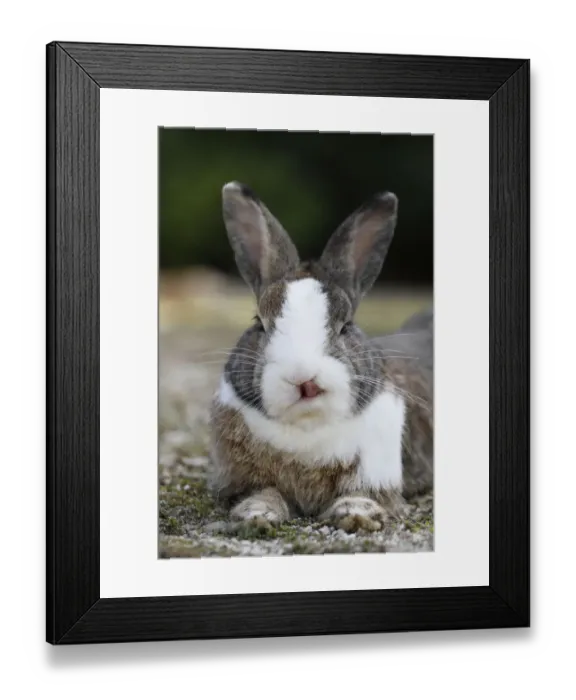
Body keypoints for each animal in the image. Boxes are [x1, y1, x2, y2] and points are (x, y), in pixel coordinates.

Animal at [208, 182, 433, 533]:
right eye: (259, 323)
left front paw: (357, 515)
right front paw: (257, 516)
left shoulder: (375, 472)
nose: (303, 378)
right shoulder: (243, 479)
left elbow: (362, 493)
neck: (307, 428)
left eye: (346, 326)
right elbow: (262, 493)